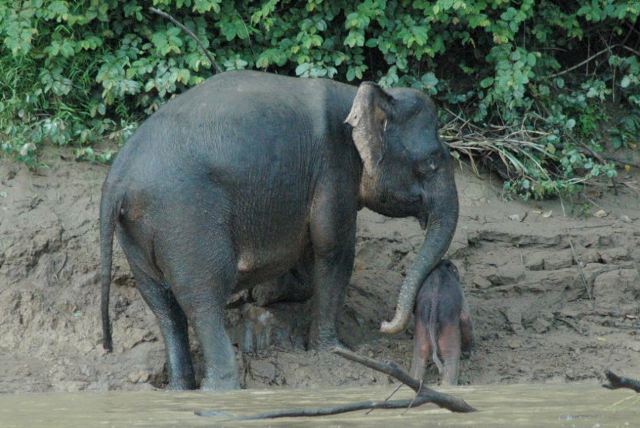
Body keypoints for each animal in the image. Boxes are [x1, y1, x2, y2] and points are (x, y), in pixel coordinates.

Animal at [100, 71, 458, 392]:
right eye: (431, 162)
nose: (385, 324)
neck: (357, 97)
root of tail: (117, 179)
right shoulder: (333, 172)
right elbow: (334, 249)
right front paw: (332, 350)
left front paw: (267, 294)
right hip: (186, 220)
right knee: (202, 297)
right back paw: (220, 388)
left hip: (137, 234)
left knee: (161, 303)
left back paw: (179, 389)